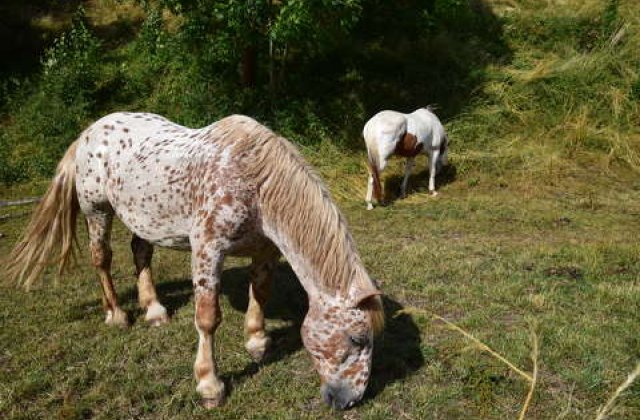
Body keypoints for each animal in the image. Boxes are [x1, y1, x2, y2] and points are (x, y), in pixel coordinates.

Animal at [6, 111, 384, 410]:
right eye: (357, 340)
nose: (348, 400)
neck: (253, 182)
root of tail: (88, 132)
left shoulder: (265, 250)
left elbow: (260, 293)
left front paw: (257, 342)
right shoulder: (207, 249)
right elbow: (207, 318)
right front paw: (209, 385)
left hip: (143, 218)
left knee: (140, 253)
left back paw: (154, 310)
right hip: (96, 210)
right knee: (102, 259)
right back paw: (116, 314)